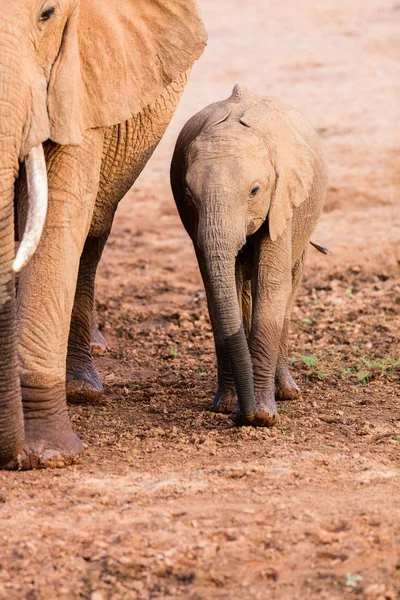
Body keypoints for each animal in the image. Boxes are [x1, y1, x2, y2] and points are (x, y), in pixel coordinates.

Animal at [0, 0, 206, 468]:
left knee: (92, 230)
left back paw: (81, 387)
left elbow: (60, 215)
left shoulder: (79, 75)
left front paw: (45, 454)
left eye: (47, 14)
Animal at [170, 84, 326, 426]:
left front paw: (264, 416)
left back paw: (288, 392)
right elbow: (218, 289)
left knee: (289, 285)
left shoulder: (282, 197)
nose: (246, 414)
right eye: (188, 195)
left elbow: (271, 283)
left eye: (254, 191)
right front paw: (226, 407)